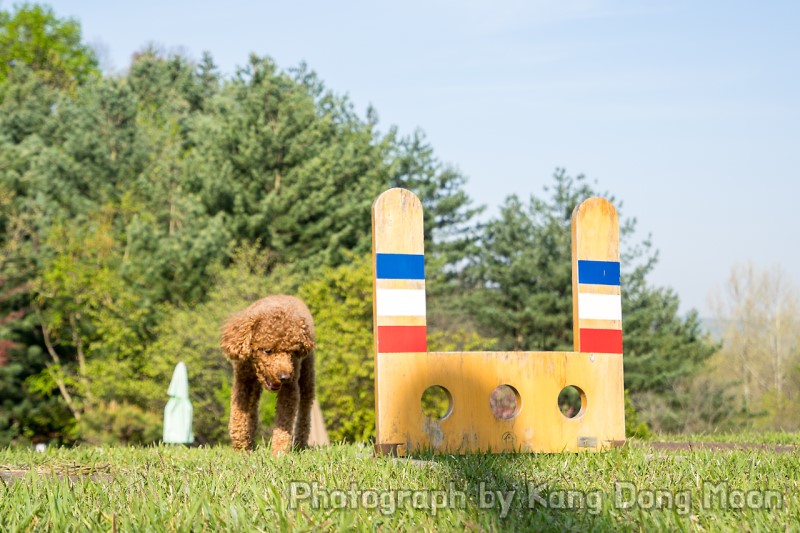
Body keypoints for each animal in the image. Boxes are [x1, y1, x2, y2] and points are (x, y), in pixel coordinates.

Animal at [222, 296, 318, 454]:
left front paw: (279, 452)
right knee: (253, 409)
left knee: (305, 407)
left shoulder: (289, 389)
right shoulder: (243, 382)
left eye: (292, 352)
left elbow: (284, 422)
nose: (285, 377)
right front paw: (241, 448)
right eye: (267, 351)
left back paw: (300, 443)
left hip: (307, 373)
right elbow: (238, 416)